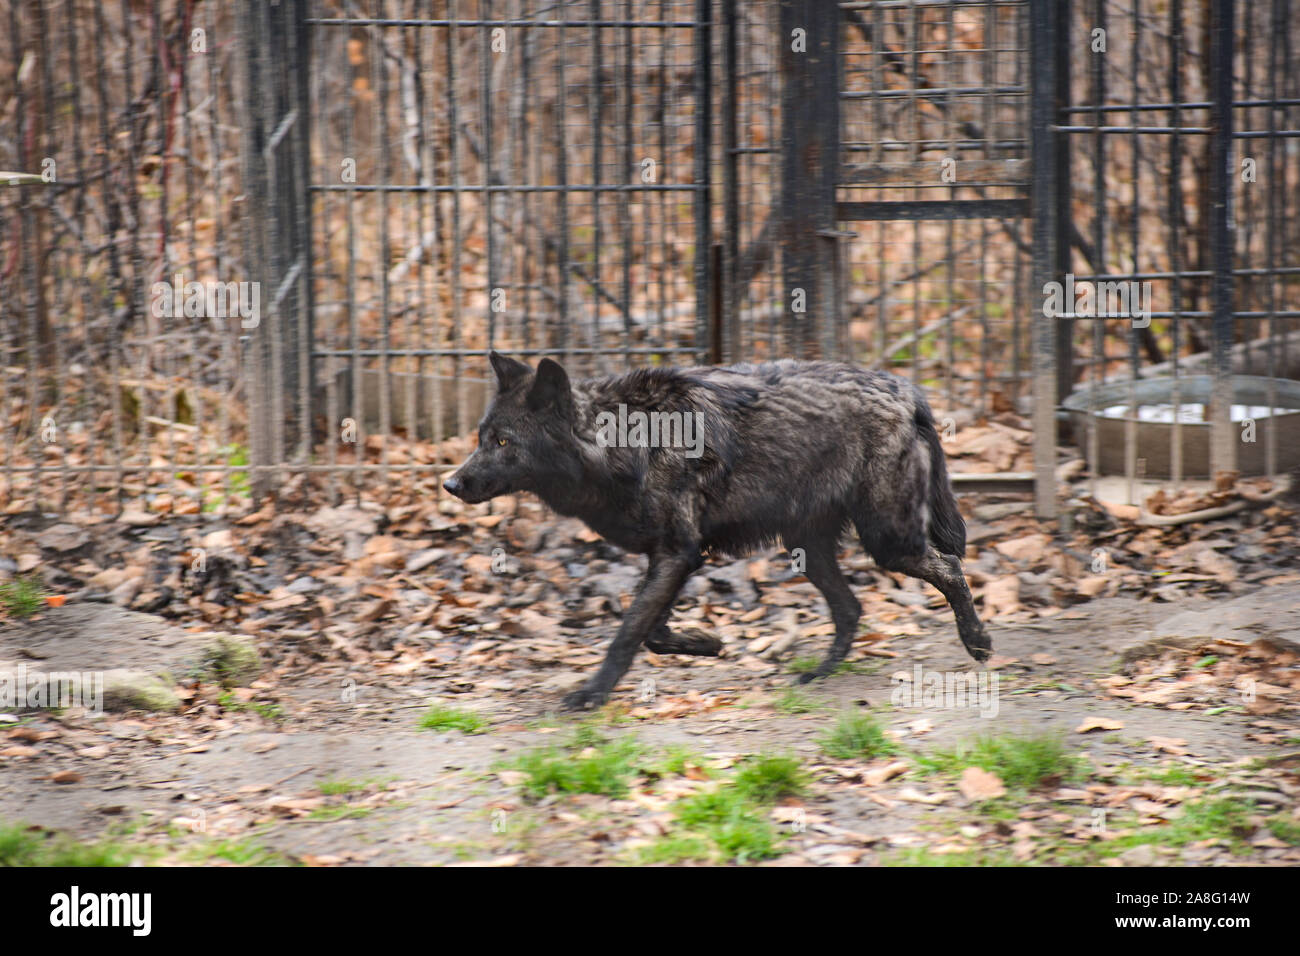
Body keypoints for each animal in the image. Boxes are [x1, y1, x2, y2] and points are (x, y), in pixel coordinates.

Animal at [444, 353, 991, 710]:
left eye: (502, 441)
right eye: (481, 437)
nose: (450, 483)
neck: (622, 446)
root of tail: (905, 389)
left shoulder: (679, 554)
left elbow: (628, 633)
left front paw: (592, 694)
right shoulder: (670, 557)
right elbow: (652, 631)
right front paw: (707, 643)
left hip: (887, 542)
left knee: (950, 566)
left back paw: (978, 642)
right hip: (808, 549)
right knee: (852, 608)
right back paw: (817, 674)